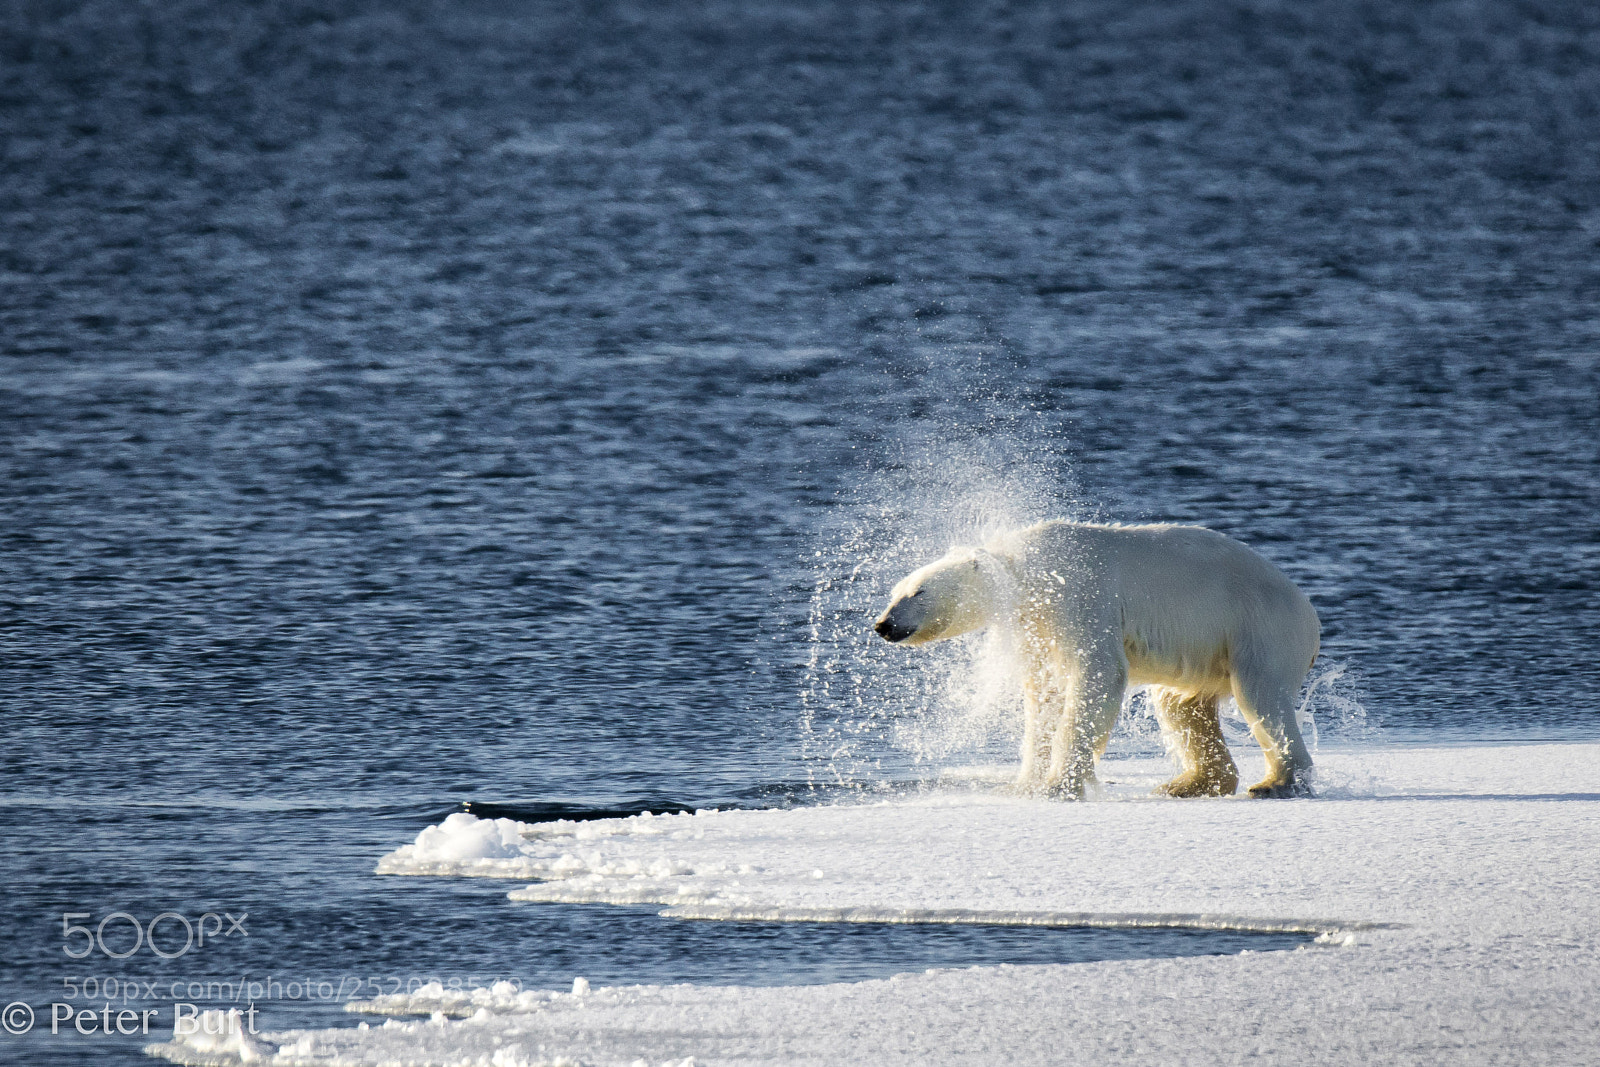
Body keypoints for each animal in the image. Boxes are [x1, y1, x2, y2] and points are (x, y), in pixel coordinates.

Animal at [872, 520, 1320, 799]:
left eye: (918, 592)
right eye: (894, 592)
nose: (883, 624)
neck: (1026, 570)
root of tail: (1310, 614)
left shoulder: (1075, 595)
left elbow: (1097, 675)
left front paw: (1058, 785)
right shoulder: (1037, 627)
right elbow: (1043, 696)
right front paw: (1022, 784)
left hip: (1258, 627)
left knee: (1261, 696)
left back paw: (1277, 783)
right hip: (1204, 654)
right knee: (1180, 705)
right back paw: (1186, 783)